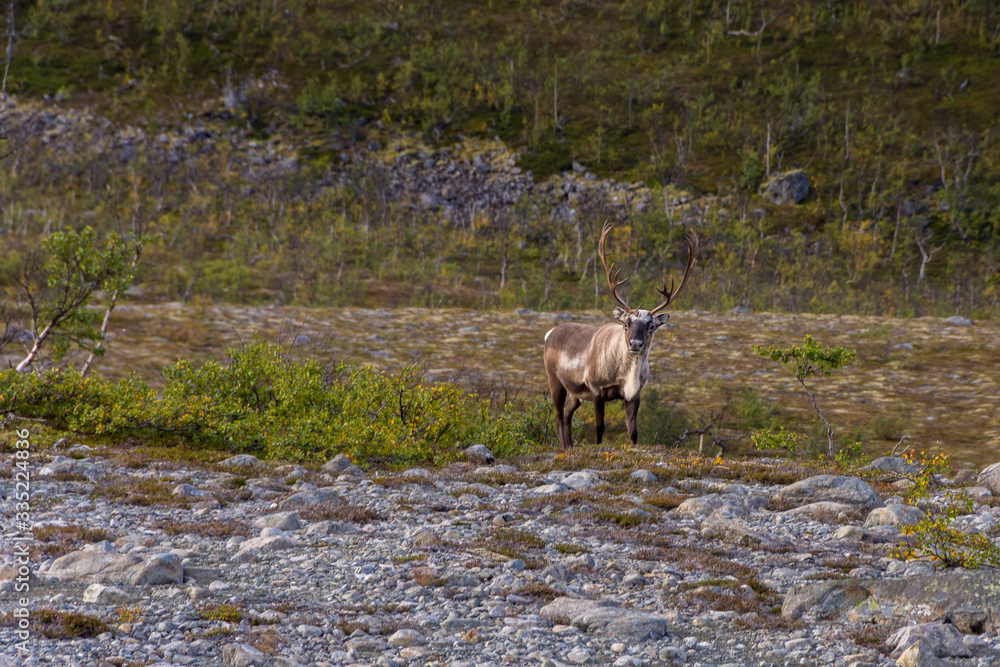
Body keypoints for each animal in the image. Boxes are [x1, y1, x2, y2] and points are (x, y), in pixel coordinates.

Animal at [543, 221, 698, 449]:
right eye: (626, 323)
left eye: (651, 326)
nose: (635, 344)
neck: (626, 373)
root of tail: (550, 333)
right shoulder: (596, 390)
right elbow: (600, 428)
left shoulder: (634, 394)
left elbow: (633, 432)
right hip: (554, 380)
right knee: (557, 416)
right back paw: (564, 446)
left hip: (576, 392)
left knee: (567, 414)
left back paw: (570, 446)